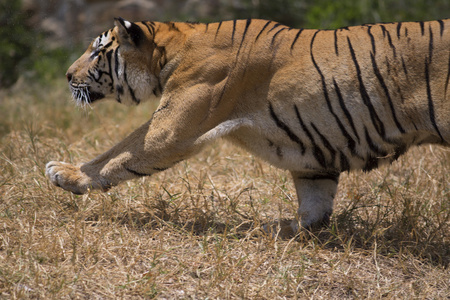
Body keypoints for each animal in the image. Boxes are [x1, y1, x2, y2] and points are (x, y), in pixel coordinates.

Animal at [45, 17, 450, 230]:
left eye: (97, 51)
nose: (65, 76)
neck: (170, 50)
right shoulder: (314, 156)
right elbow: (315, 205)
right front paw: (285, 231)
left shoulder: (170, 128)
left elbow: (116, 155)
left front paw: (65, 173)